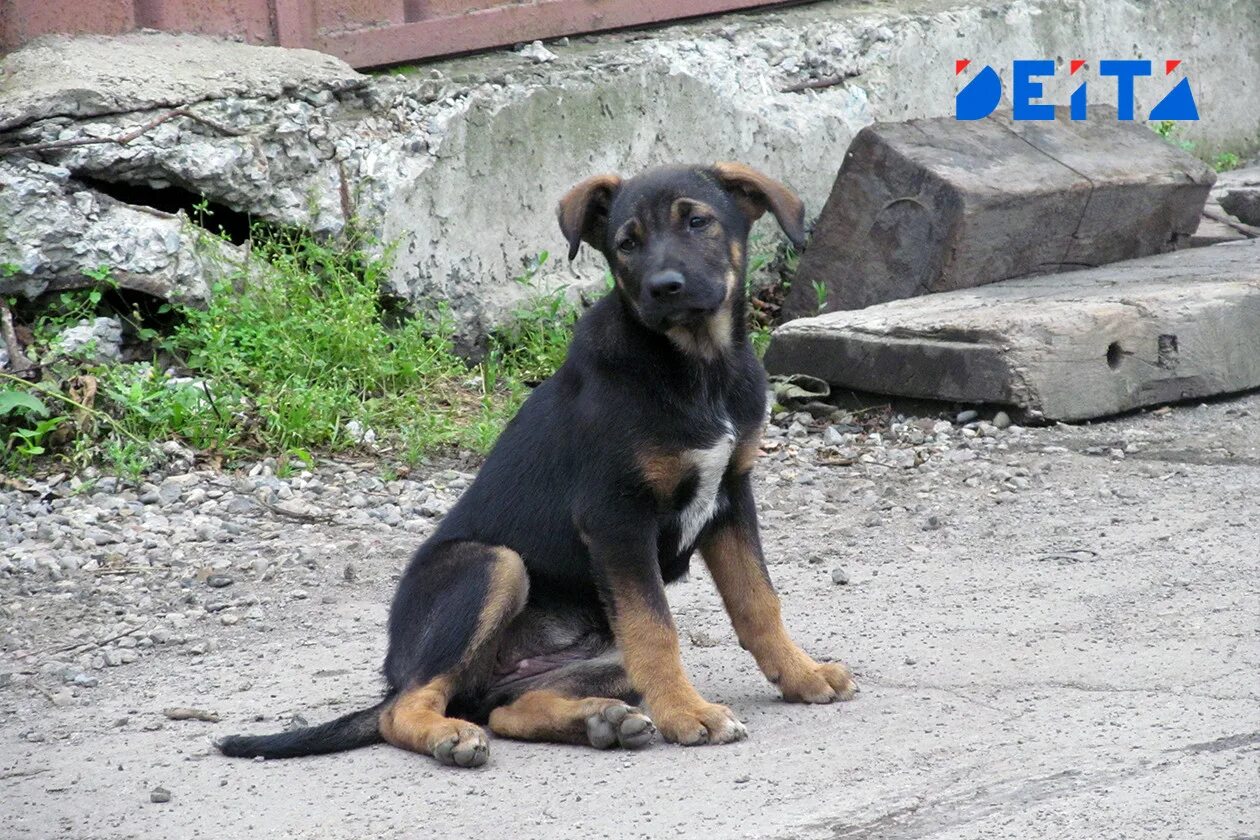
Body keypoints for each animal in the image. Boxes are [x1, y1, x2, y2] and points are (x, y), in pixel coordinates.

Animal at [221, 162, 861, 770]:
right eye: (626, 243)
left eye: (698, 222)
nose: (664, 287)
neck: (698, 366)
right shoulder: (616, 517)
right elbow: (656, 630)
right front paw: (688, 713)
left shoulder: (730, 494)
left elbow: (758, 602)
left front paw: (801, 675)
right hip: (494, 565)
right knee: (406, 708)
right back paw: (453, 736)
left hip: (596, 654)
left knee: (504, 707)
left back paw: (602, 721)